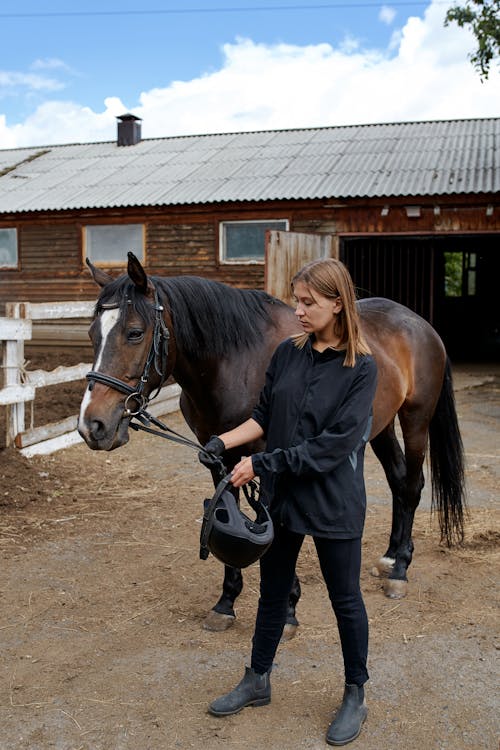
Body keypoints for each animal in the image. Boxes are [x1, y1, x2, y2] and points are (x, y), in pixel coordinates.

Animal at [77, 256, 464, 636]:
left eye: (134, 333)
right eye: (93, 334)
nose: (92, 426)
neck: (236, 361)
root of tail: (419, 324)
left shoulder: (268, 459)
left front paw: (288, 609)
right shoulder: (219, 456)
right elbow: (226, 511)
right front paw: (226, 604)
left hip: (415, 419)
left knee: (411, 485)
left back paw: (399, 571)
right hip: (380, 427)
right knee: (398, 482)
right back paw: (389, 558)